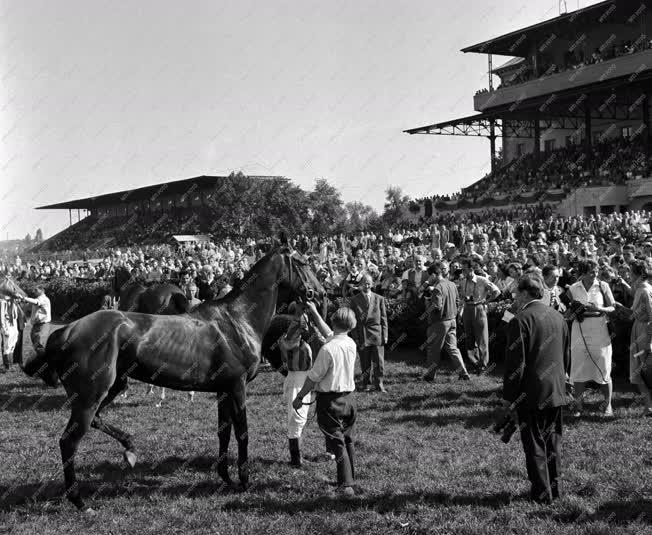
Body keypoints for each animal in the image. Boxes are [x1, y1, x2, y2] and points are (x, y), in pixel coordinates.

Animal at [22, 249, 324, 512]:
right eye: (302, 262)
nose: (319, 293)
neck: (237, 321)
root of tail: (65, 332)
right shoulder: (237, 387)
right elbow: (242, 432)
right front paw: (244, 481)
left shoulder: (223, 390)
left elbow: (223, 431)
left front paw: (225, 476)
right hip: (91, 396)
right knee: (69, 442)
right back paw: (80, 501)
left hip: (111, 388)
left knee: (95, 422)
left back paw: (130, 451)